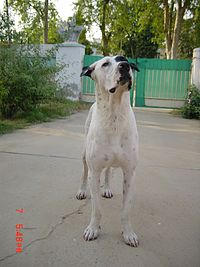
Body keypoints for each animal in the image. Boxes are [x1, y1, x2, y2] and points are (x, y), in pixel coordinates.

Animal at [76, 55, 139, 248]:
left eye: (124, 59)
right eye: (105, 64)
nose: (125, 66)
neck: (114, 115)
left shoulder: (130, 173)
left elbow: (126, 210)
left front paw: (128, 234)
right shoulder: (94, 172)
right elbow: (96, 209)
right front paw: (93, 229)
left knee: (109, 171)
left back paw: (108, 188)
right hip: (84, 155)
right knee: (84, 172)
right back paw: (81, 191)